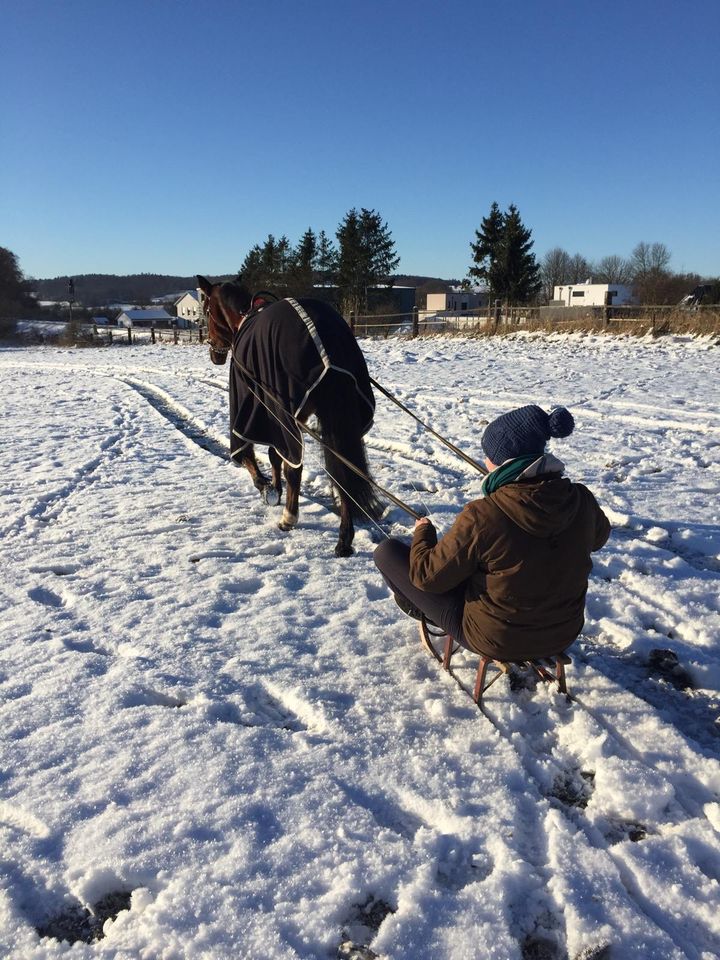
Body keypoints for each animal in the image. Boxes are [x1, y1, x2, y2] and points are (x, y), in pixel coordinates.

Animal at [194, 274, 380, 556]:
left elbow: (251, 455)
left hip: (287, 413)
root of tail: (325, 340)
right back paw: (344, 540)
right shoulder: (280, 416)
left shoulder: (259, 410)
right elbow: (275, 455)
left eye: (205, 311)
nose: (214, 354)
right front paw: (275, 488)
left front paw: (267, 489)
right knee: (342, 473)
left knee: (297, 465)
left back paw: (289, 518)